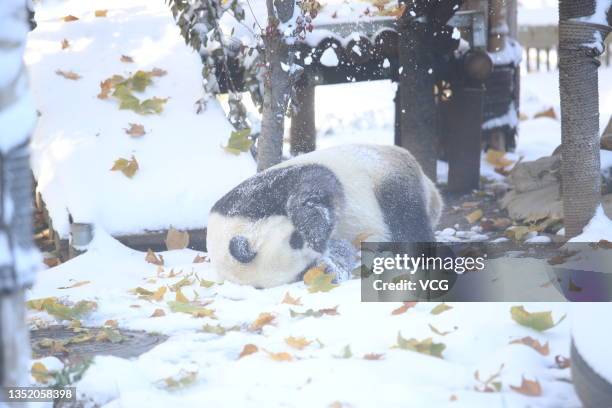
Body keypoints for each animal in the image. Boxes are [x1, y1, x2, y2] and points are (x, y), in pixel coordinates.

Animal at [208, 145, 442, 288]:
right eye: (303, 270)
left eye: (296, 239)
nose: (320, 252)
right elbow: (344, 253)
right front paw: (331, 266)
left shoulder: (251, 196)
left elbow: (316, 185)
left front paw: (316, 233)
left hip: (385, 173)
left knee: (406, 215)